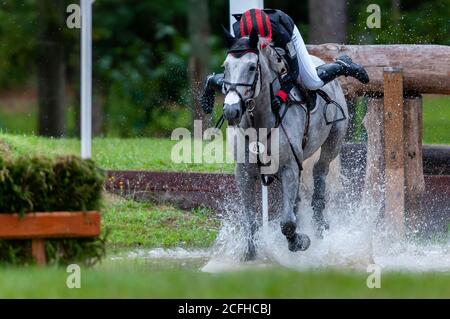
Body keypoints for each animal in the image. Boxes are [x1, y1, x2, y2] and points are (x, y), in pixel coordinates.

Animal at [222, 30, 348, 262]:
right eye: (225, 67)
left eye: (252, 67)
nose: (231, 111)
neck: (260, 121)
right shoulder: (243, 172)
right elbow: (250, 217)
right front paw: (250, 252)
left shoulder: (288, 167)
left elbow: (287, 222)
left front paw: (299, 242)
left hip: (333, 141)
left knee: (320, 169)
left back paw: (319, 223)